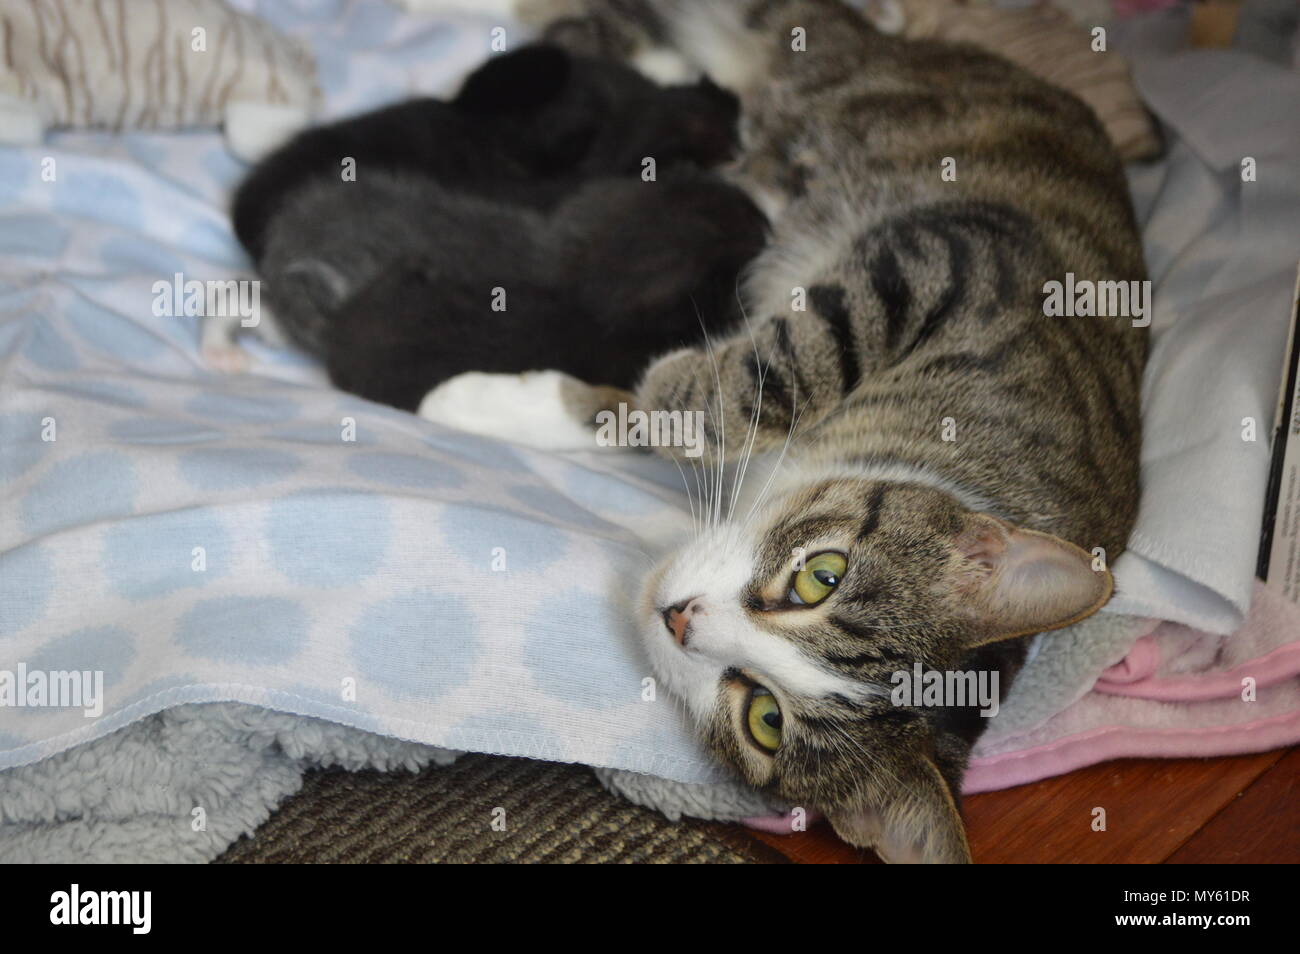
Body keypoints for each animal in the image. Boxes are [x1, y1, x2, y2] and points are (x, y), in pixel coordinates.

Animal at [470, 0, 1149, 868]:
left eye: (764, 718)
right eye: (822, 576)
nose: (680, 616)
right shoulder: (960, 262)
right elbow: (783, 366)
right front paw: (634, 389)